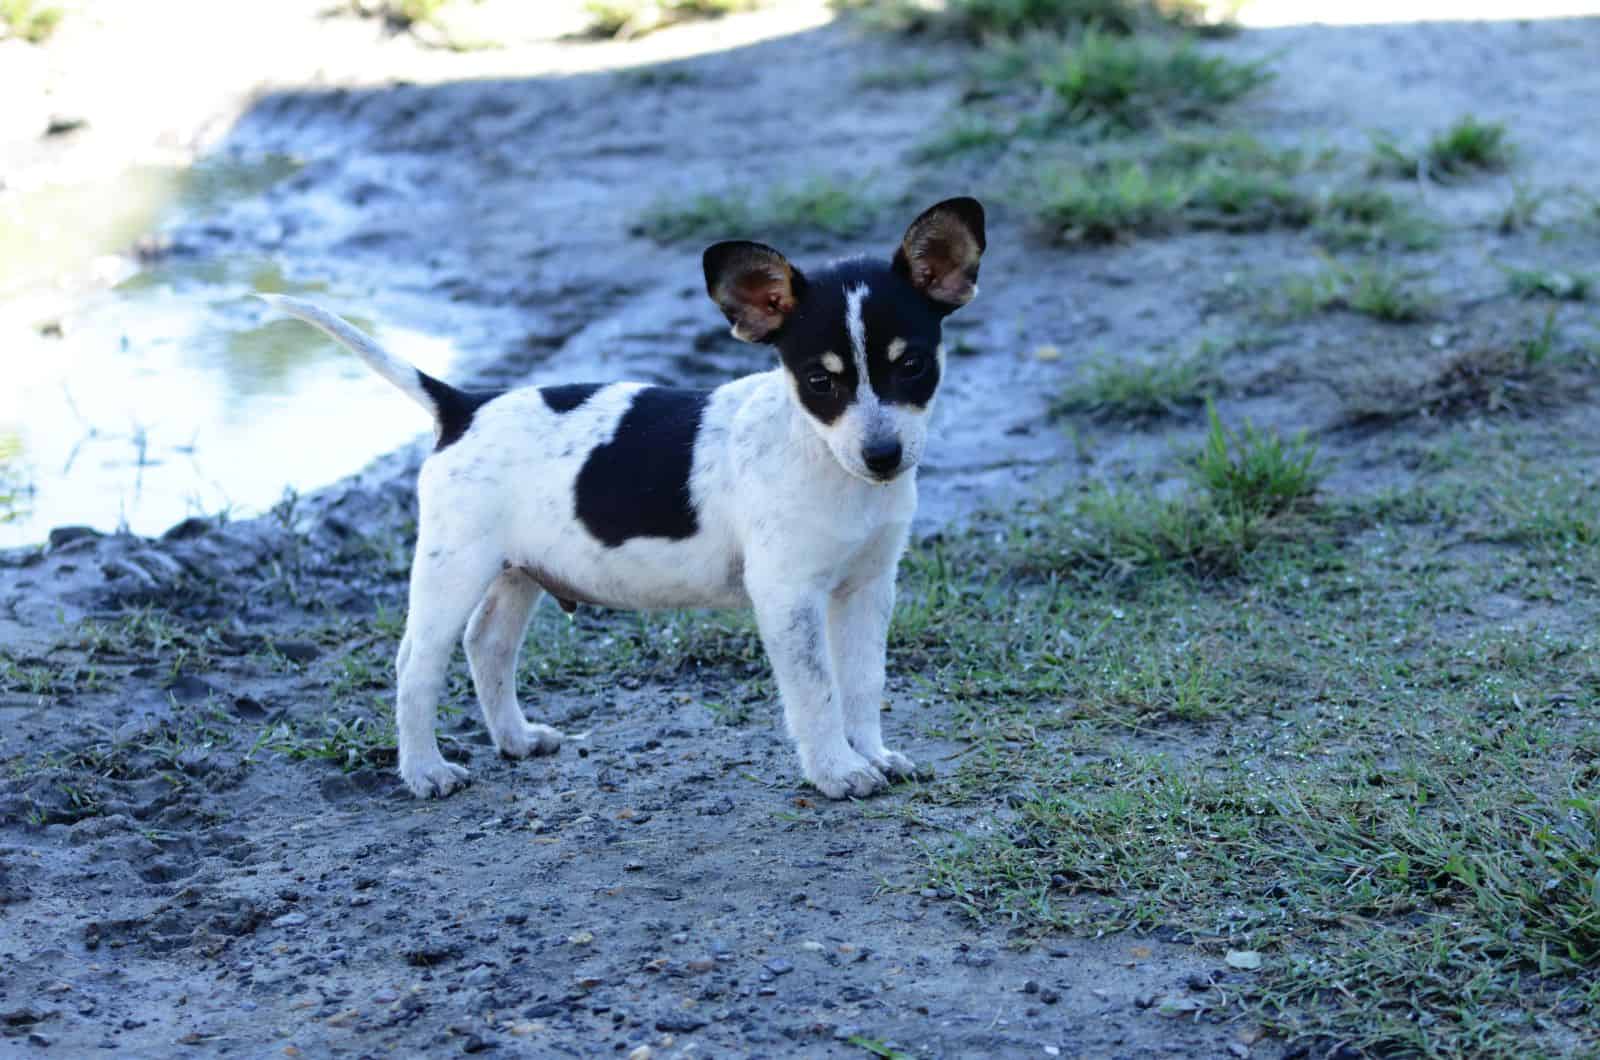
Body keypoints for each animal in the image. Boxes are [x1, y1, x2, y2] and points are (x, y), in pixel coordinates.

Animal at [268, 195, 979, 800]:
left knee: (486, 645)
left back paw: (516, 739)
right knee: (416, 665)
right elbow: (817, 691)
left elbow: (861, 682)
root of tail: (462, 407)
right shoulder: (787, 595)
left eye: (912, 366)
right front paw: (836, 770)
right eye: (819, 382)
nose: (883, 456)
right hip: (453, 568)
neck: (825, 459)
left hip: (516, 572)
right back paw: (424, 770)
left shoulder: (867, 588)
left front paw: (873, 753)